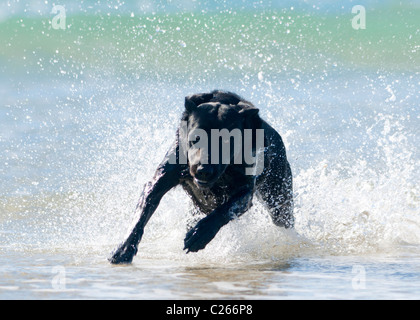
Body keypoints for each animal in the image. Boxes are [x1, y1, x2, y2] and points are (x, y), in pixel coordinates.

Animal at [109, 90, 292, 264]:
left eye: (226, 141)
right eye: (196, 138)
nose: (203, 170)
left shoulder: (245, 191)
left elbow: (225, 209)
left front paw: (200, 234)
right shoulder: (162, 178)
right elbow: (142, 212)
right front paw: (124, 249)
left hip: (279, 197)